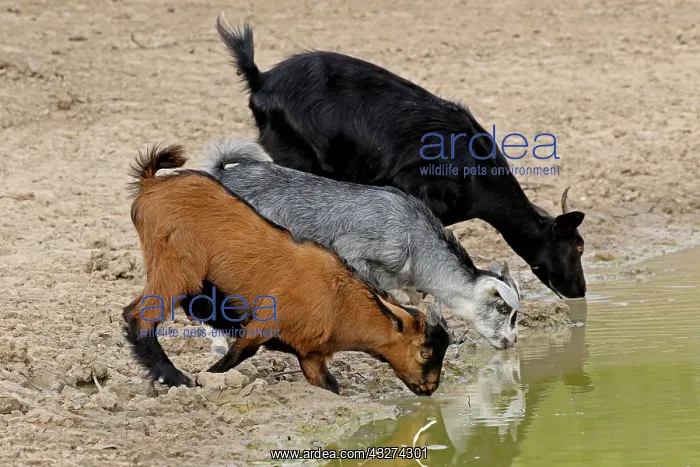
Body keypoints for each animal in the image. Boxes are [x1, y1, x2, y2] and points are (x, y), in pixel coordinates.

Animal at [123, 144, 451, 395]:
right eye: (425, 351)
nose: (430, 388)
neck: (339, 298)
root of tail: (152, 184)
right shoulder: (263, 324)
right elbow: (237, 354)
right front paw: (206, 379)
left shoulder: (311, 356)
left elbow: (329, 386)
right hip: (176, 265)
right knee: (138, 315)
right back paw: (175, 377)